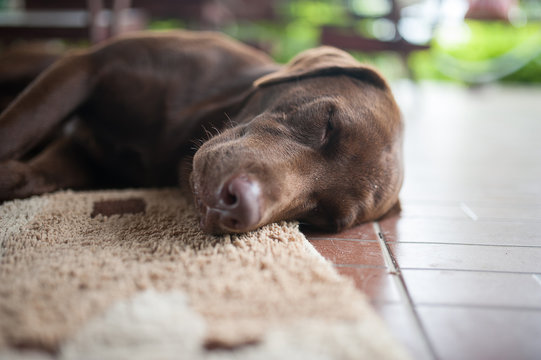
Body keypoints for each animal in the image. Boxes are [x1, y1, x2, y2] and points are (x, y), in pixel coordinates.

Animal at [0, 30, 400, 233]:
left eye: (321, 217)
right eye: (327, 124)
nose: (238, 206)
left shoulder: (86, 159)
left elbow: (31, 175)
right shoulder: (86, 67)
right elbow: (15, 130)